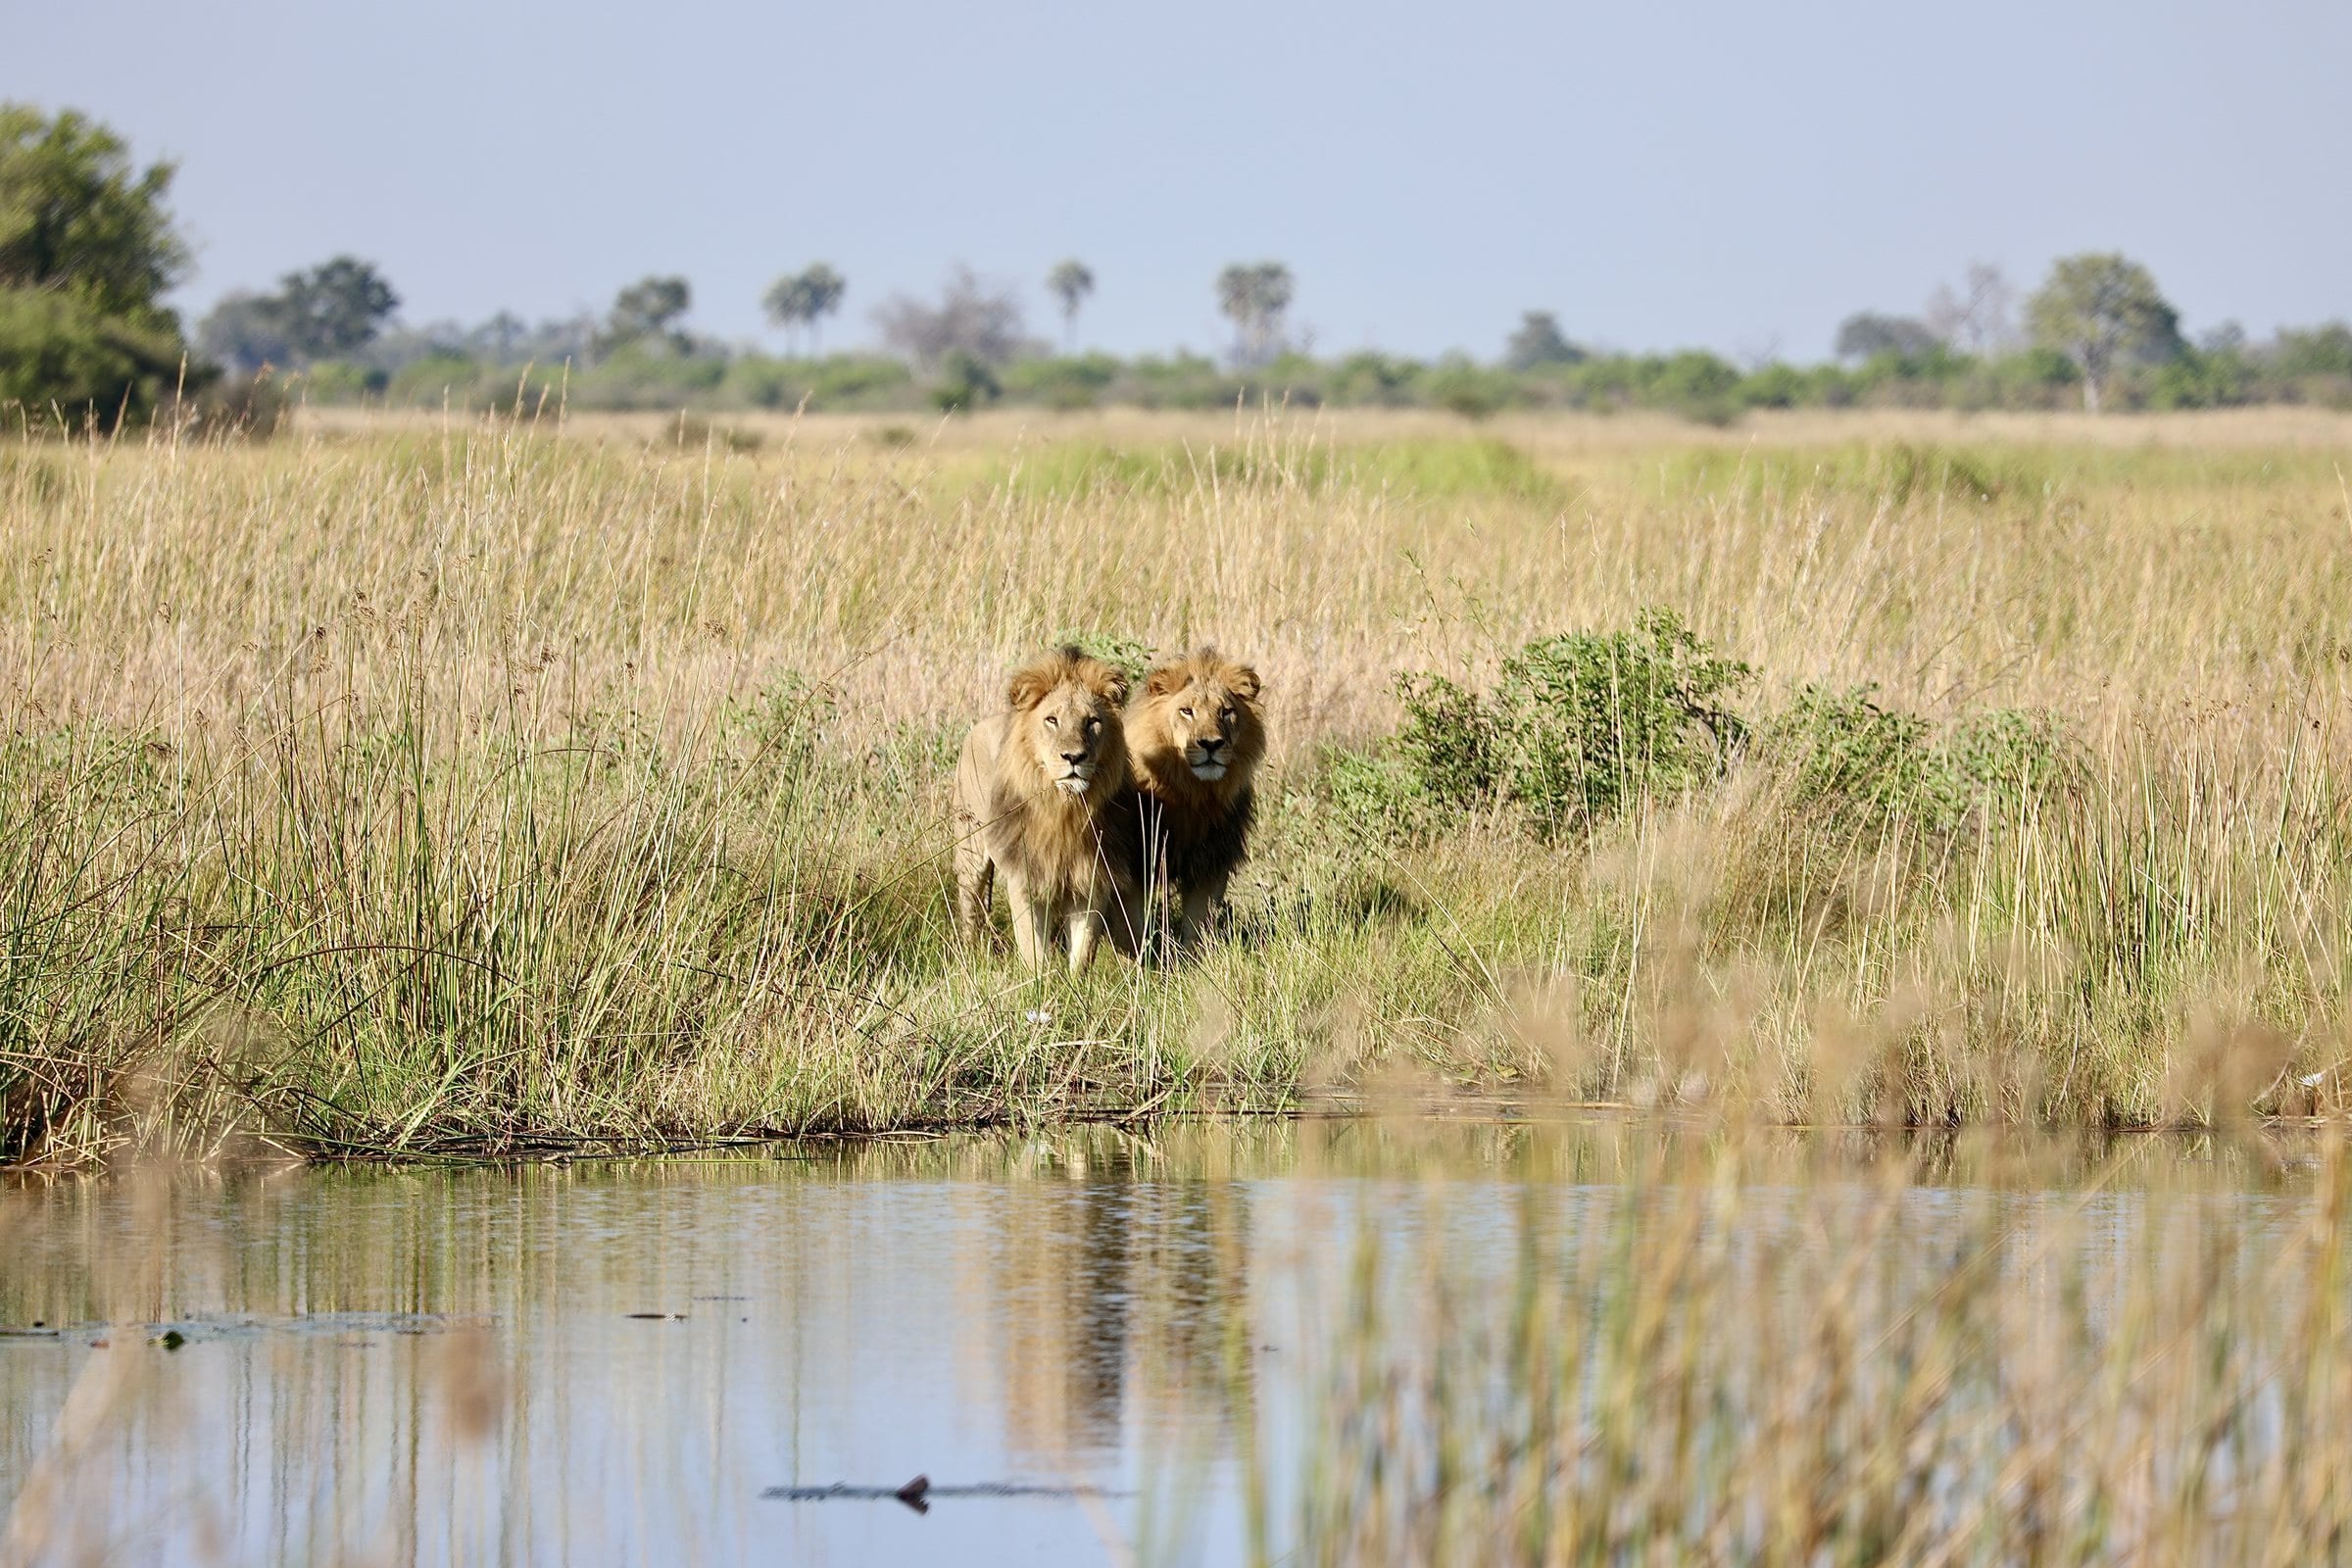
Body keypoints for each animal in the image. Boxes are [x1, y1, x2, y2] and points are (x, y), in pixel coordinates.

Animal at [953, 646, 1138, 972]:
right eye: (1052, 720)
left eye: (1092, 721)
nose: (1074, 757)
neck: (1064, 808)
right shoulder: (1024, 877)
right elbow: (1032, 949)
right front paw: (1039, 980)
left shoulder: (1091, 879)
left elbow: (1083, 949)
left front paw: (1075, 983)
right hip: (970, 851)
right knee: (969, 906)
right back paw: (970, 954)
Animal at [1117, 647, 1267, 950]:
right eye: (1187, 711)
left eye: (1226, 711)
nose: (1211, 744)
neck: (1191, 793)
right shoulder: (1136, 862)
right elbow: (1132, 928)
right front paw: (1137, 960)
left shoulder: (1209, 862)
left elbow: (1197, 926)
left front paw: (1194, 960)